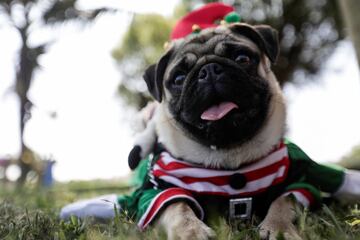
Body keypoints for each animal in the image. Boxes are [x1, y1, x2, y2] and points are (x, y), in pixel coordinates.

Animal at [125, 22, 358, 240]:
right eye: (179, 79)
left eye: (242, 58)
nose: (208, 71)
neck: (229, 153)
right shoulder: (155, 192)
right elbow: (177, 206)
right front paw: (190, 232)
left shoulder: (295, 184)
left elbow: (283, 202)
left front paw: (279, 229)